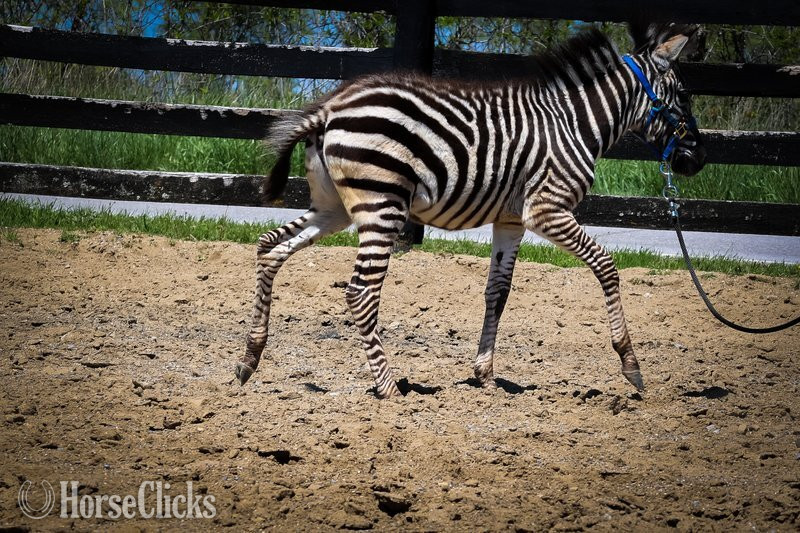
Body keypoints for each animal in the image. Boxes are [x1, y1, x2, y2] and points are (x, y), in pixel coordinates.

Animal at [235, 22, 707, 398]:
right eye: (684, 94)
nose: (698, 161)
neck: (574, 124)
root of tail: (329, 109)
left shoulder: (511, 220)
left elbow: (497, 292)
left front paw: (485, 374)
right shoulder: (546, 210)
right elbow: (606, 266)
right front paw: (630, 364)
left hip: (336, 208)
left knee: (269, 248)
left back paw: (248, 360)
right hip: (382, 205)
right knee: (361, 292)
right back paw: (388, 388)